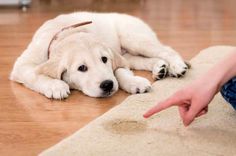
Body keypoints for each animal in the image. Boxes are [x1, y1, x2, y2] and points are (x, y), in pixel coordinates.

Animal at [10, 12, 189, 100]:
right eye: (82, 68)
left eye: (104, 59)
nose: (107, 85)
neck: (67, 33)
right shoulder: (22, 65)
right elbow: (34, 74)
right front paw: (55, 86)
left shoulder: (115, 58)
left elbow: (119, 71)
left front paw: (134, 83)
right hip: (129, 52)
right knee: (139, 60)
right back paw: (160, 68)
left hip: (134, 38)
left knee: (166, 50)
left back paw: (176, 66)